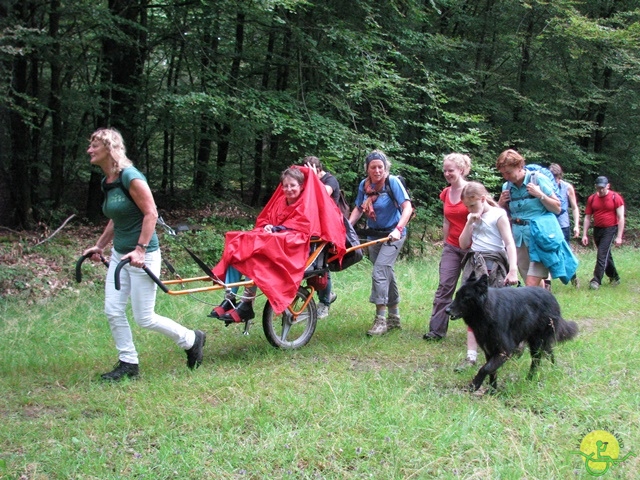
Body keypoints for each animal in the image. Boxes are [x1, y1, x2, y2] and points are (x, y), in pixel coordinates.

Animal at [444, 272, 580, 392]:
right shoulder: (490, 350)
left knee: (538, 360)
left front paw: (475, 385)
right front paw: (492, 391)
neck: (487, 311)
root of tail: (551, 296)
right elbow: (492, 371)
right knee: (549, 353)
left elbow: (485, 369)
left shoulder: (504, 351)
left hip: (538, 343)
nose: (446, 310)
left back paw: (533, 377)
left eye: (466, 297)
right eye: (457, 295)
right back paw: (551, 370)